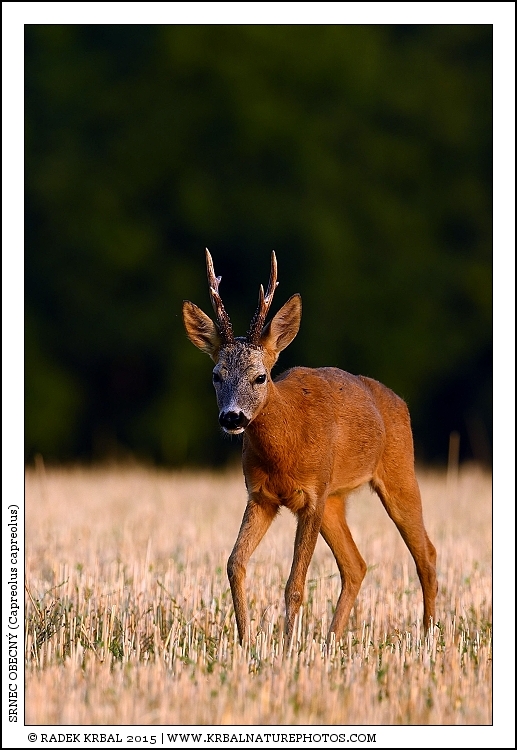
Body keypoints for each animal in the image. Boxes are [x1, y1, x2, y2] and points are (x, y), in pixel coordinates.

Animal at [182, 250, 437, 647]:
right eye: (216, 376)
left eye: (261, 376)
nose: (232, 417)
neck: (286, 448)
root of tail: (398, 402)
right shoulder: (261, 496)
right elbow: (234, 564)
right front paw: (245, 643)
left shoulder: (312, 496)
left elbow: (295, 585)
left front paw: (288, 649)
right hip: (336, 499)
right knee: (356, 565)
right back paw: (331, 641)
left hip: (399, 473)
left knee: (425, 553)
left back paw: (426, 638)